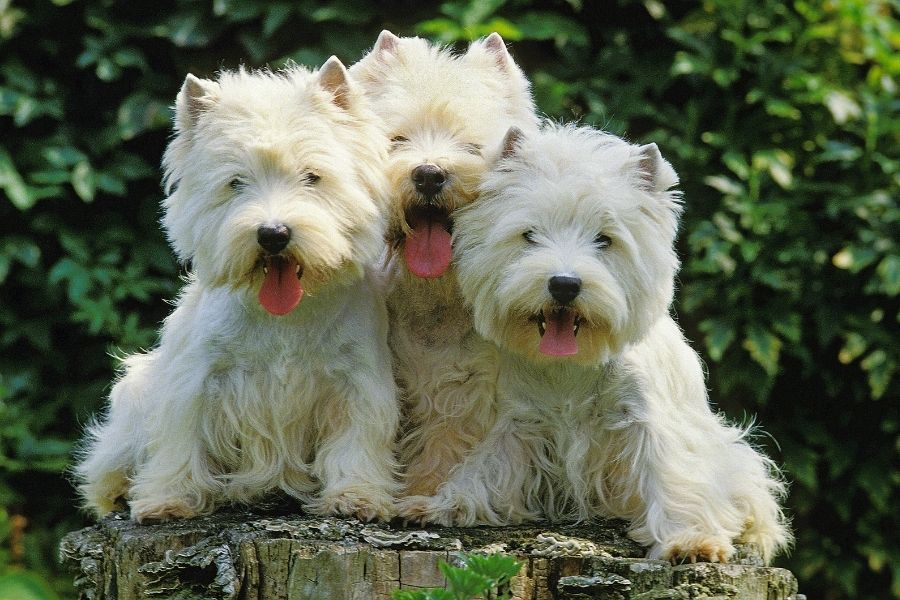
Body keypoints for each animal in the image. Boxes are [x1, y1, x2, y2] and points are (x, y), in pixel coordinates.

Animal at [75, 58, 400, 524]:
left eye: (312, 176)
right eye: (235, 182)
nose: (273, 234)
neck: (286, 317)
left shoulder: (358, 382)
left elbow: (356, 442)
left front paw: (356, 497)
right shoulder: (196, 379)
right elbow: (180, 439)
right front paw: (167, 499)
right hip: (135, 398)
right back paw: (120, 493)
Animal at [348, 34, 536, 502]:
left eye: (472, 147)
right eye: (397, 139)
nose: (429, 174)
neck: (433, 294)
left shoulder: (470, 380)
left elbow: (448, 435)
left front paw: (426, 492)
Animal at [404, 124, 792, 564]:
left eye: (605, 240)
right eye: (529, 235)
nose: (564, 284)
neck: (571, 366)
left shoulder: (648, 421)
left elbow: (672, 475)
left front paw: (691, 540)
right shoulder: (520, 422)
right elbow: (487, 469)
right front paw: (438, 505)